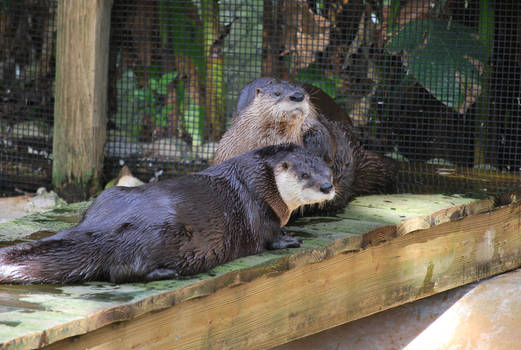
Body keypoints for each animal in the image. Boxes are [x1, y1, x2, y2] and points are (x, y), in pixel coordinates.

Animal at [0, 144, 334, 284]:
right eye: (304, 175)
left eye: (328, 171)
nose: (327, 186)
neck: (264, 180)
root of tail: (99, 228)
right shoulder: (260, 209)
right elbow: (270, 235)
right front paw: (290, 239)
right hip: (160, 234)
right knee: (120, 271)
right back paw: (164, 272)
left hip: (110, 196)